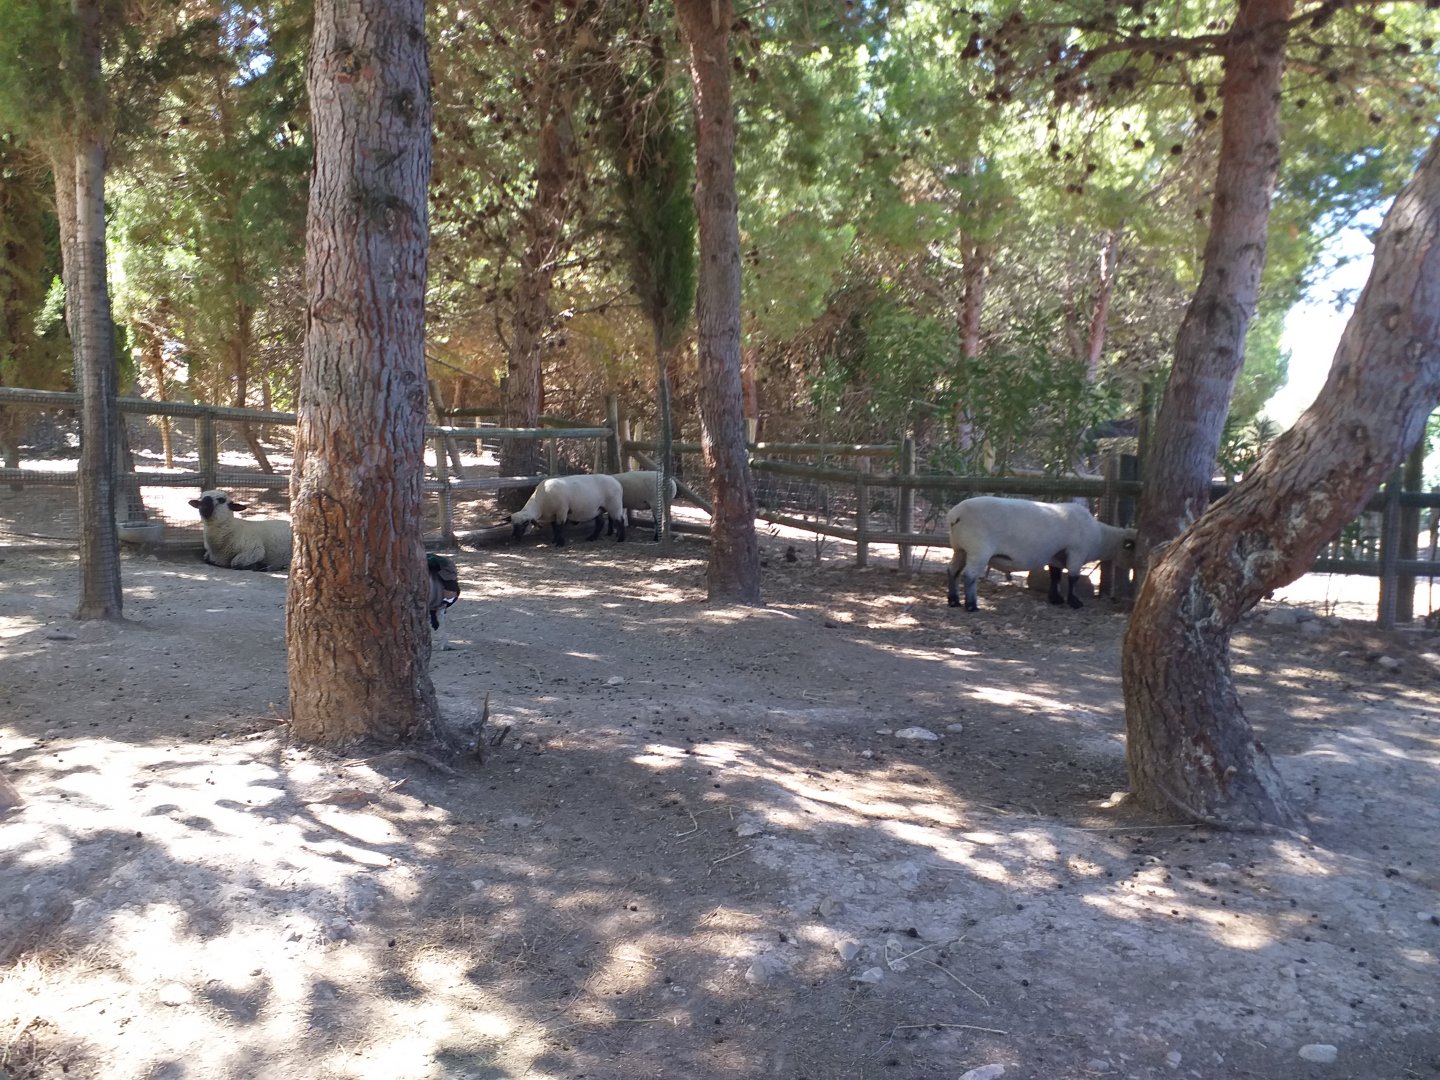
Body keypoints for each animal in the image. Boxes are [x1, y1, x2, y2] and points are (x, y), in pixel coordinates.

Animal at [945, 495, 1135, 612]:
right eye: (1132, 547)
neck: (1099, 536)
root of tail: (955, 515)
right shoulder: (1076, 551)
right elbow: (1073, 578)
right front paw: (1074, 602)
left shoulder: (1056, 555)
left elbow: (1055, 576)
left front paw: (1056, 598)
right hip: (978, 549)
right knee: (969, 575)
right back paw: (971, 606)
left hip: (960, 548)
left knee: (952, 571)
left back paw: (954, 601)